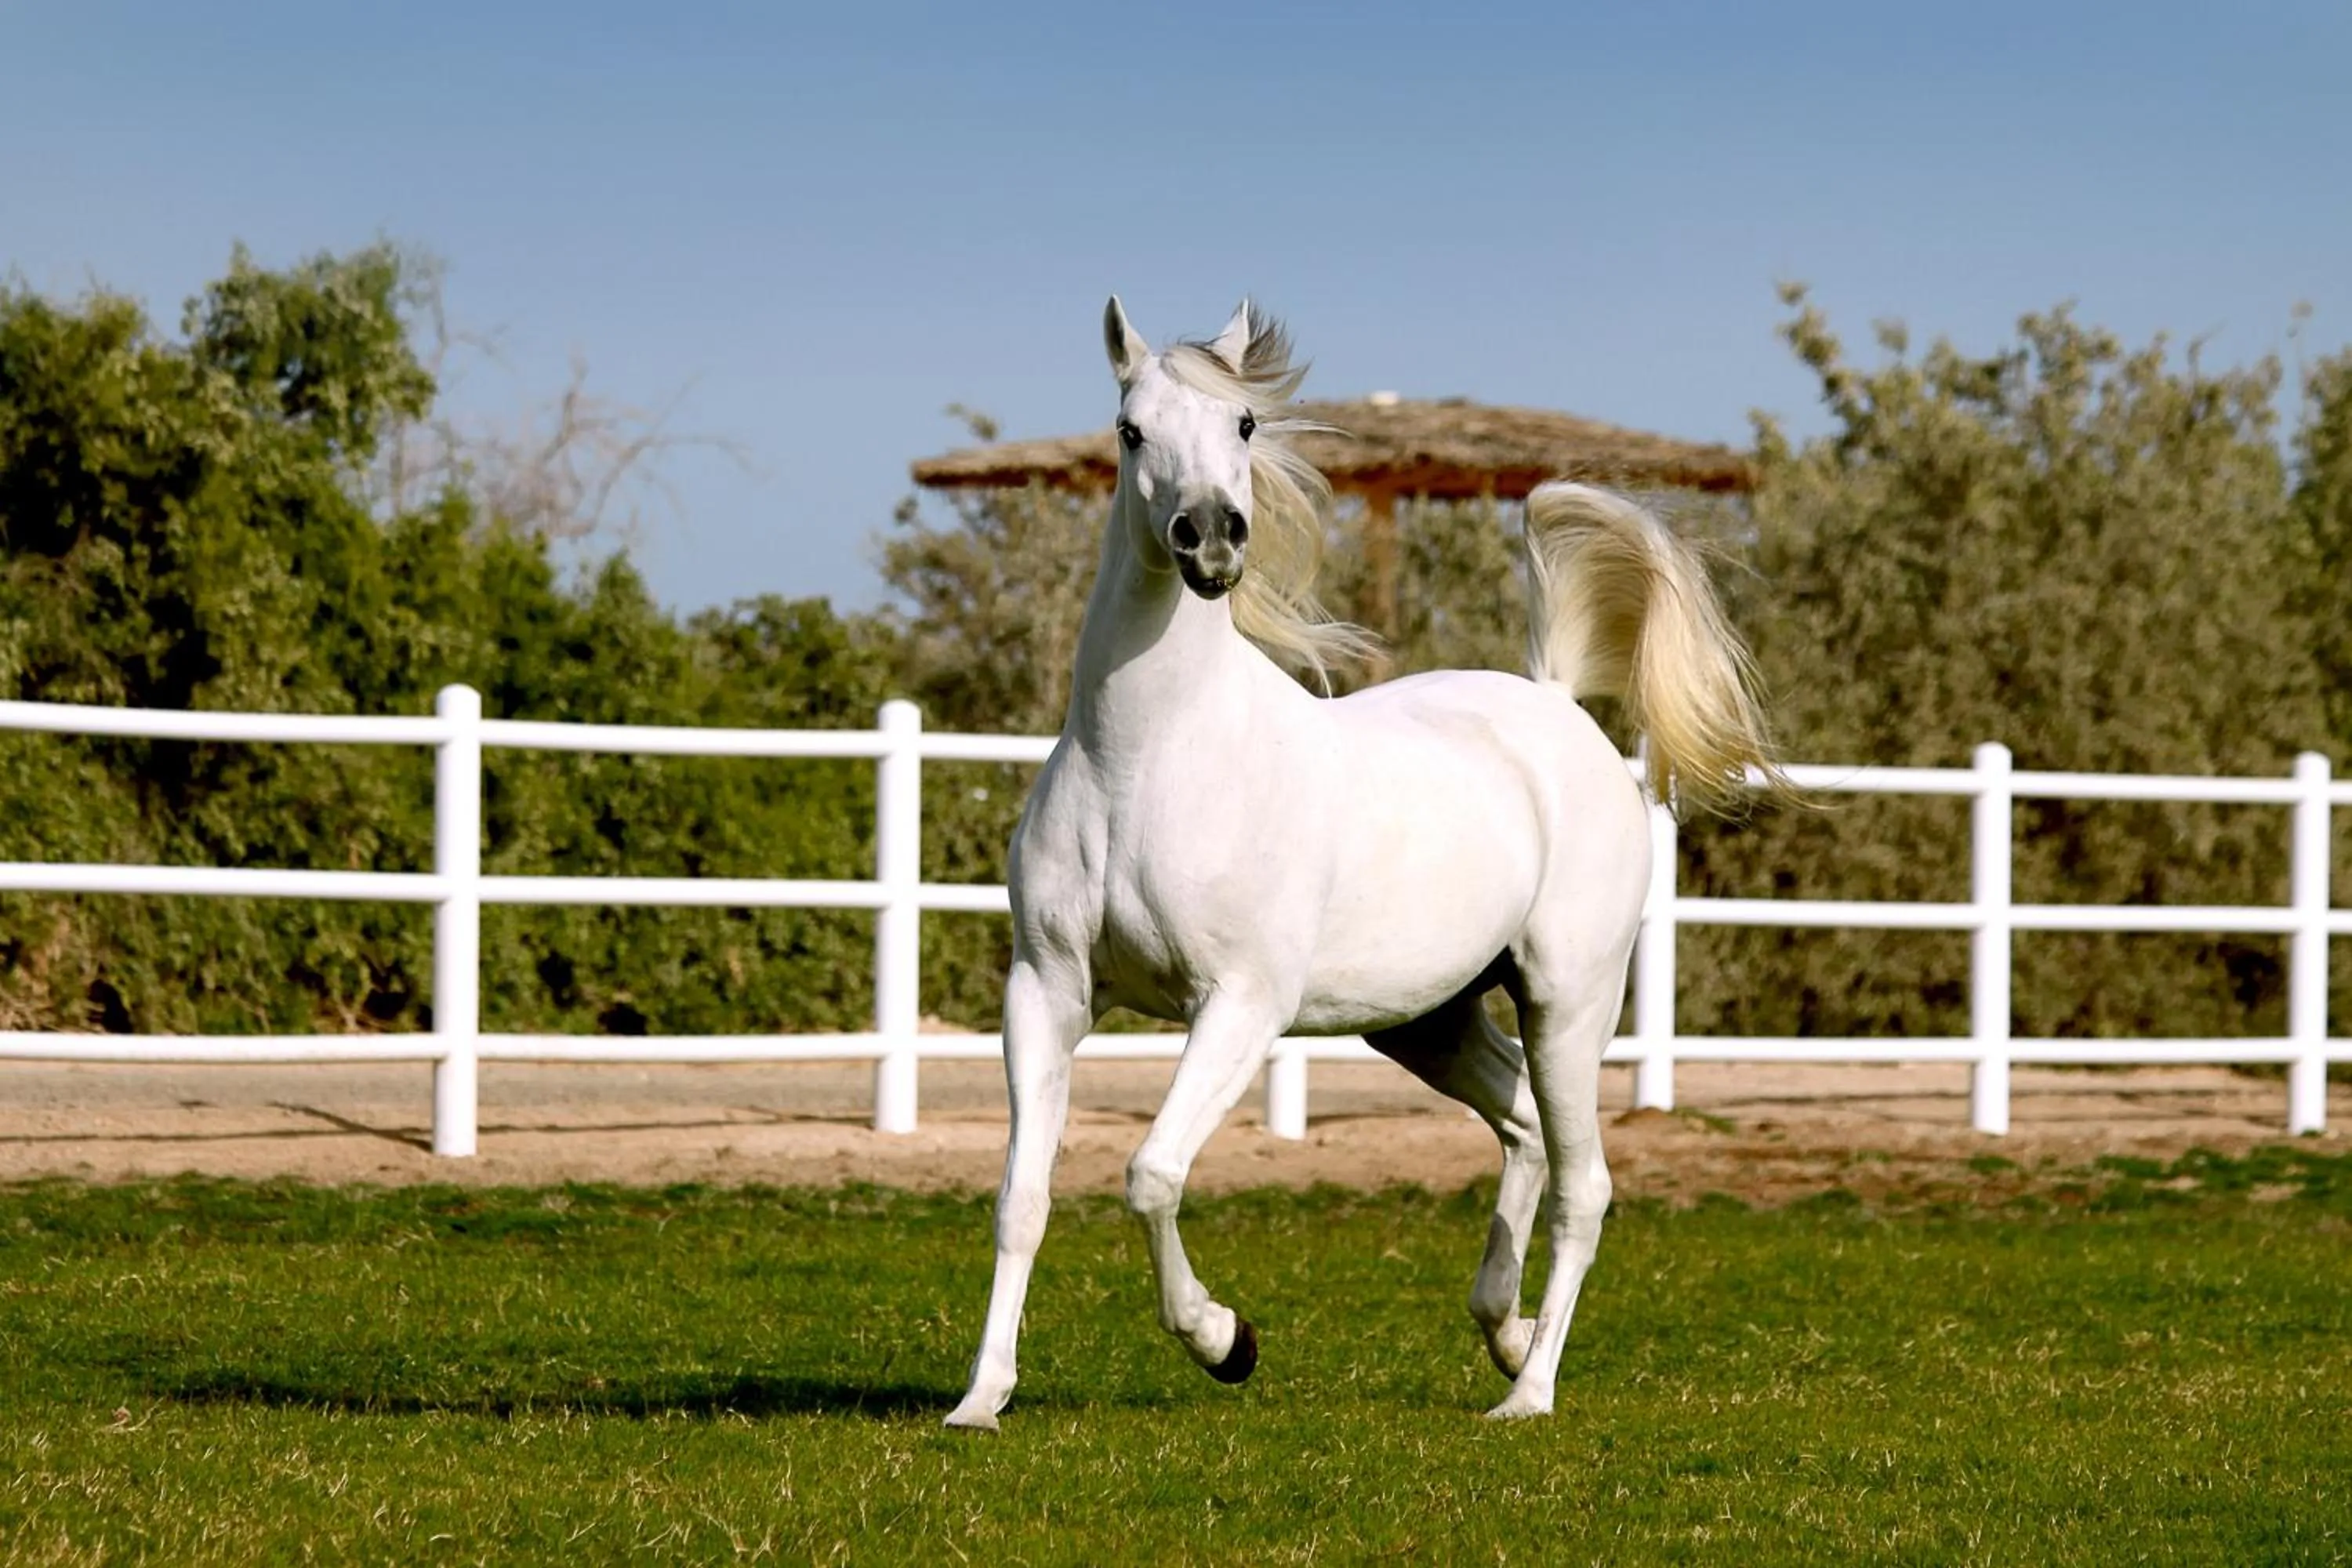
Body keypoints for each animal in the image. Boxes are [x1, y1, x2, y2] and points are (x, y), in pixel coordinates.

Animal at [943, 297, 1776, 1430]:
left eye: (1246, 424)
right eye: (1130, 429)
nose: (1211, 538)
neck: (1145, 763)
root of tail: (1556, 705)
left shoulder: (1239, 1004)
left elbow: (1152, 1172)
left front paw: (1227, 1341)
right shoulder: (1047, 990)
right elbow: (1020, 1196)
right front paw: (982, 1397)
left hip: (1568, 1002)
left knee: (1585, 1184)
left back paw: (1530, 1394)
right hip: (1428, 1020)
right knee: (1522, 1128)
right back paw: (1506, 1334)